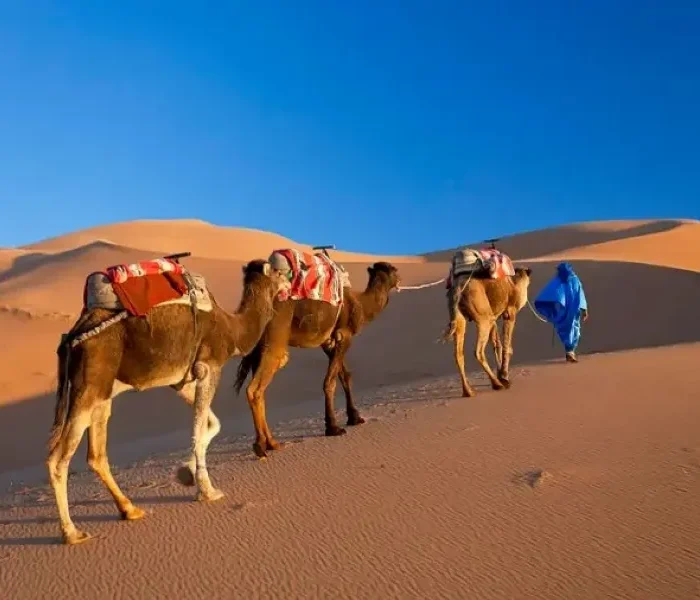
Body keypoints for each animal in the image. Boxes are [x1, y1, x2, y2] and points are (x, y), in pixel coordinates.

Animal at [47, 258, 289, 545]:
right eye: (278, 271)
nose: (289, 280)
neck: (232, 328)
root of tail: (72, 337)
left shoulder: (181, 380)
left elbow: (211, 425)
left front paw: (187, 473)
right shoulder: (209, 367)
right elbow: (198, 429)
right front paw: (207, 491)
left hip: (102, 391)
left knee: (96, 454)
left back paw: (130, 510)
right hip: (88, 384)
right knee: (58, 458)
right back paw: (72, 532)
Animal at [234, 260, 400, 458]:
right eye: (394, 270)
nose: (400, 278)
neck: (360, 304)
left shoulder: (328, 342)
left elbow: (344, 377)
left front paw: (354, 417)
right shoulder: (344, 336)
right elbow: (330, 382)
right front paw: (333, 427)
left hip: (259, 347)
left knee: (261, 390)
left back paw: (272, 443)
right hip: (274, 339)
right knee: (255, 389)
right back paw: (261, 444)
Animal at [443, 266, 532, 397]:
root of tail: (458, 290)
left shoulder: (494, 316)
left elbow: (497, 344)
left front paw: (502, 375)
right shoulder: (510, 312)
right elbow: (507, 346)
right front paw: (504, 377)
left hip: (460, 318)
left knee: (458, 354)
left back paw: (468, 391)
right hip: (483, 318)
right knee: (478, 351)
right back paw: (496, 384)